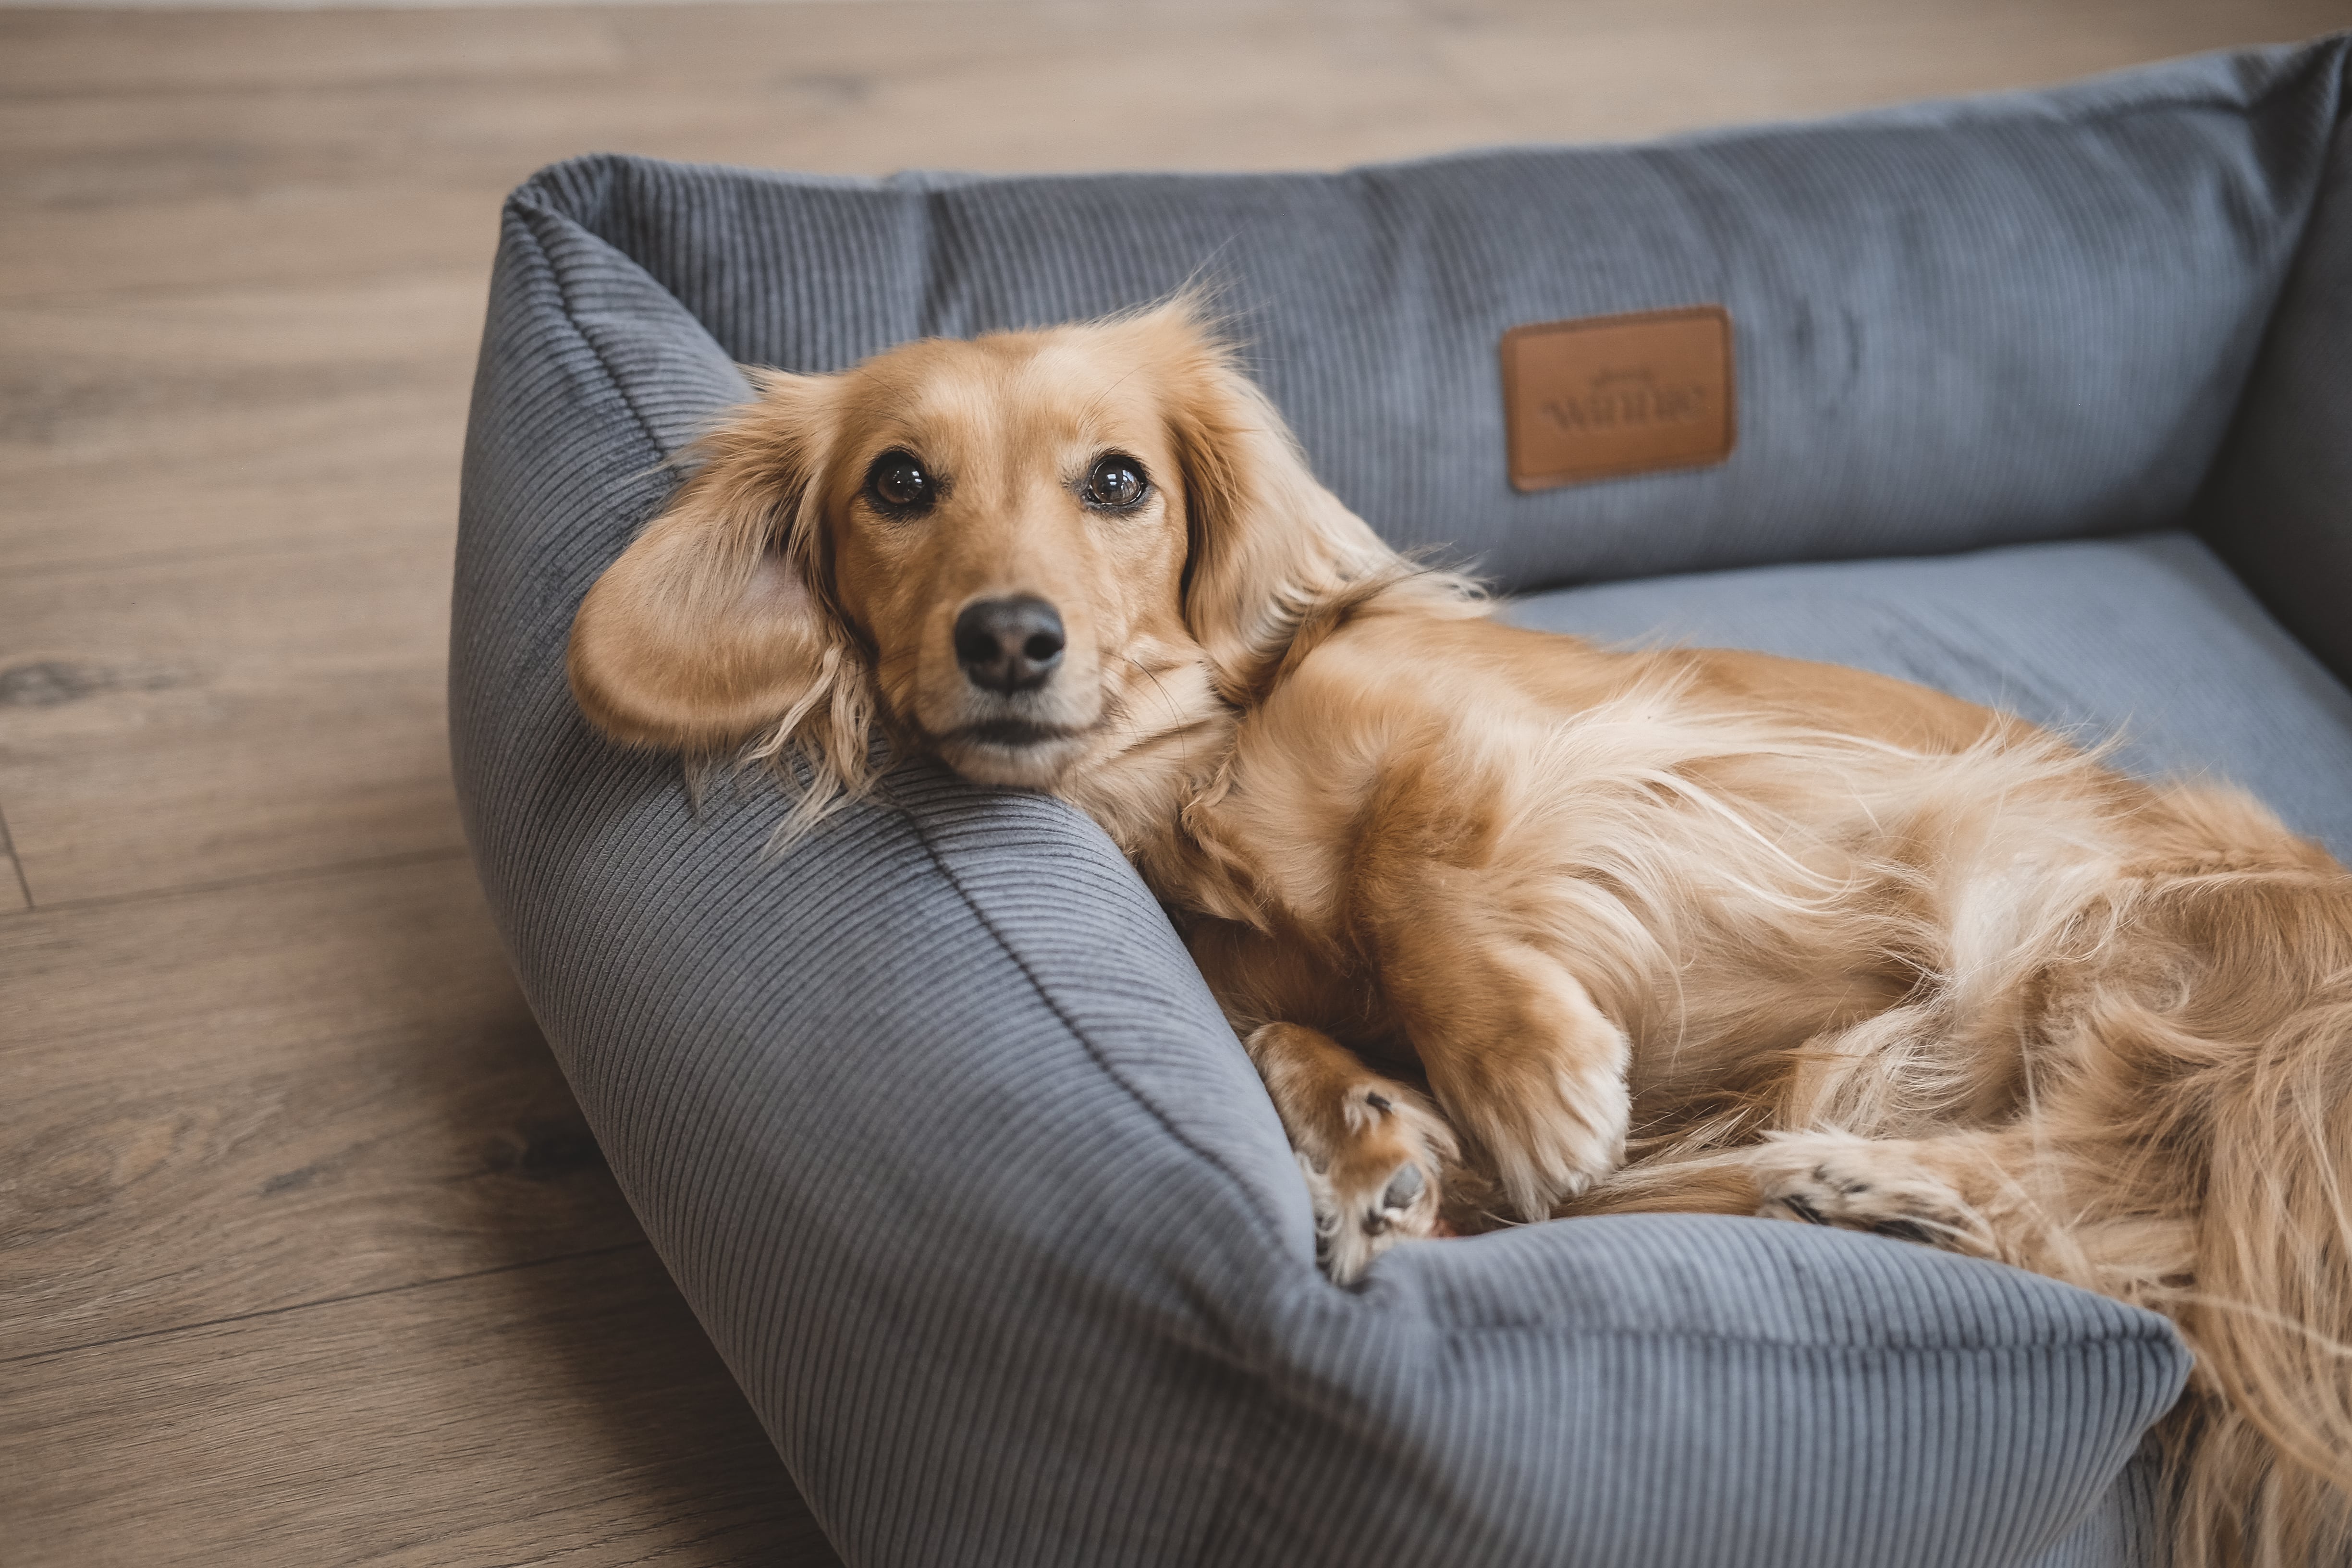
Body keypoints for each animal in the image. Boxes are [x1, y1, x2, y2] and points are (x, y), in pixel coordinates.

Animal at [564, 301, 2352, 1561]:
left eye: (1119, 480)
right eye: (899, 483)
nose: (1010, 638)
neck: (1187, 785)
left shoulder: (1567, 749)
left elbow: (1413, 856)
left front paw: (1521, 1073)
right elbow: (1276, 1021)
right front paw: (1374, 1135)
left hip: (2077, 911)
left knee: (2120, 1216)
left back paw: (1865, 1183)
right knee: (2113, 1237)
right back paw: (1837, 1190)